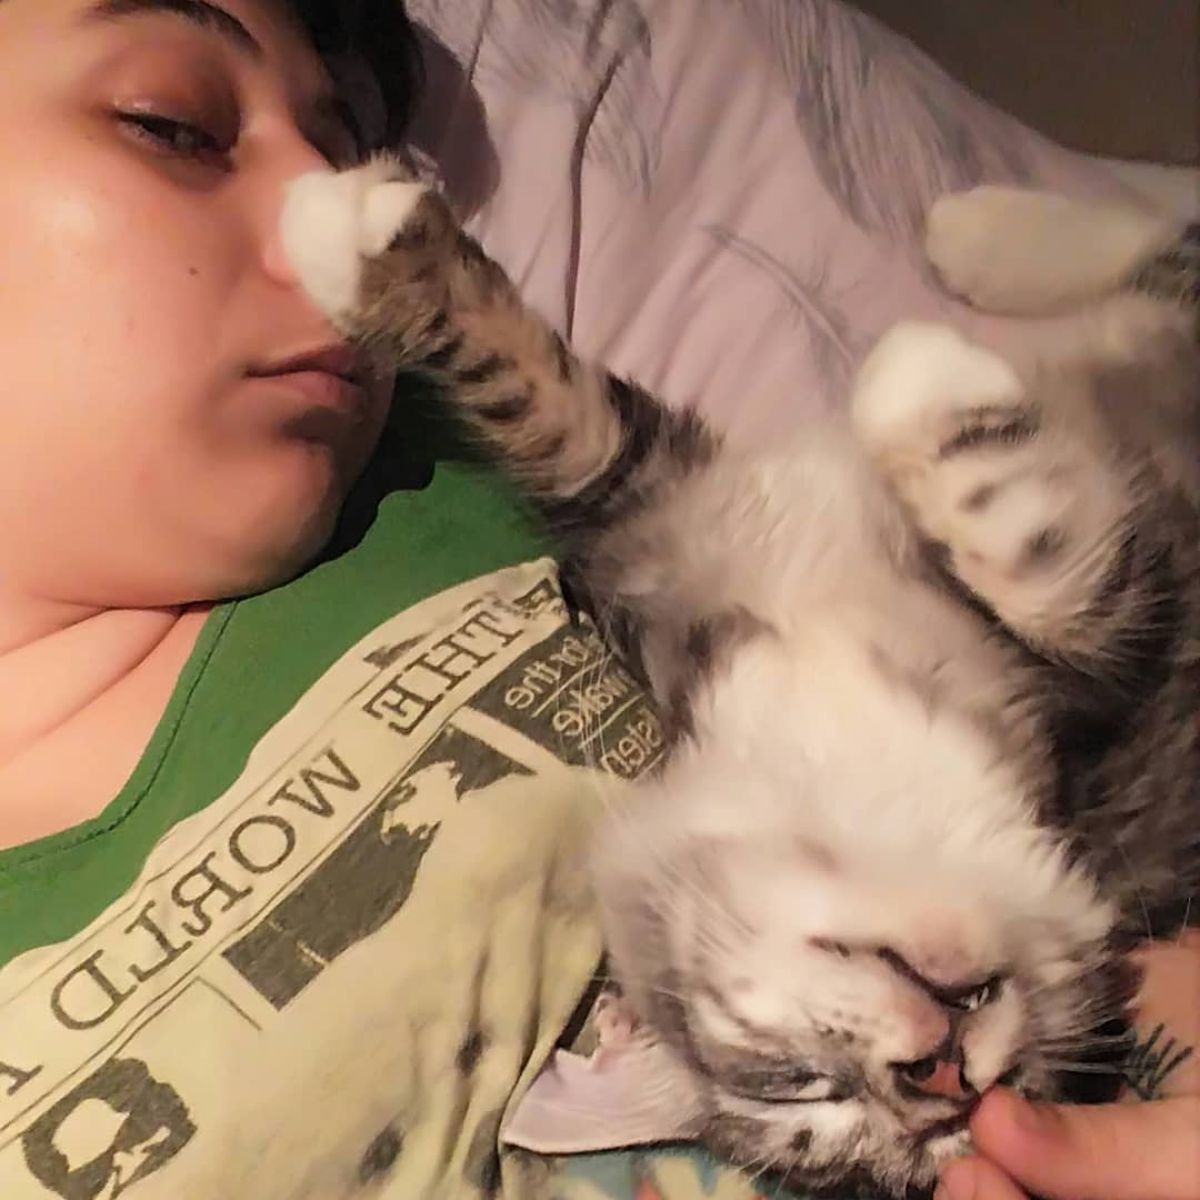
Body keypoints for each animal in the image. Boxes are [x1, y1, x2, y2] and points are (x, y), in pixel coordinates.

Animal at [278, 169, 1190, 1200]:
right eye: (805, 1092)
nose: (940, 1079)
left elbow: (1033, 558)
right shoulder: (662, 506)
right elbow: (537, 397)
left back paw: (975, 232)